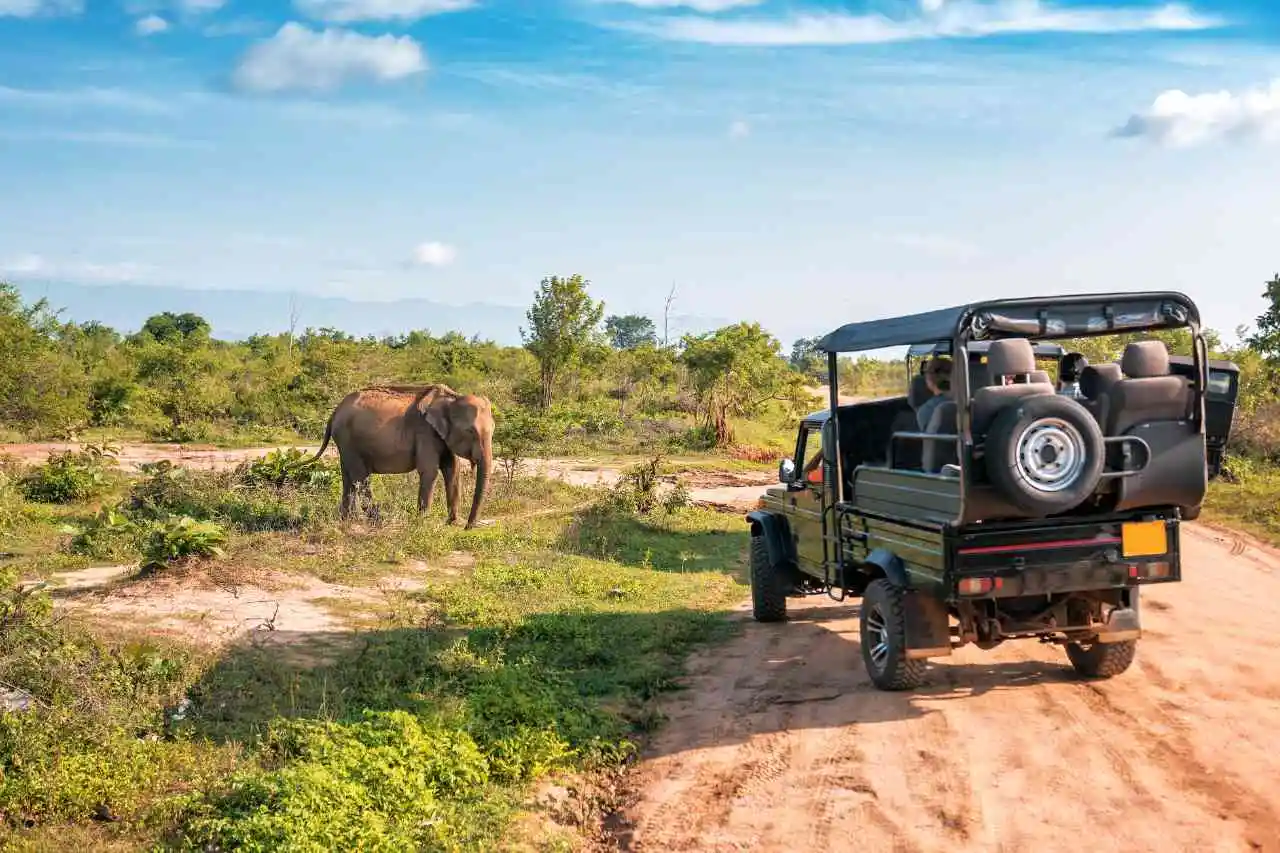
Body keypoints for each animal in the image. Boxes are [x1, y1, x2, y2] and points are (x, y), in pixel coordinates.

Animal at [305, 384, 494, 529]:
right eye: (470, 431)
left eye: (493, 430)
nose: (468, 527)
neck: (452, 398)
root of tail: (334, 413)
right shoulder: (424, 431)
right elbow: (430, 471)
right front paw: (423, 523)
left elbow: (452, 469)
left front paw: (452, 523)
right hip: (348, 440)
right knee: (360, 476)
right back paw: (376, 519)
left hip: (345, 443)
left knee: (348, 477)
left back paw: (348, 520)